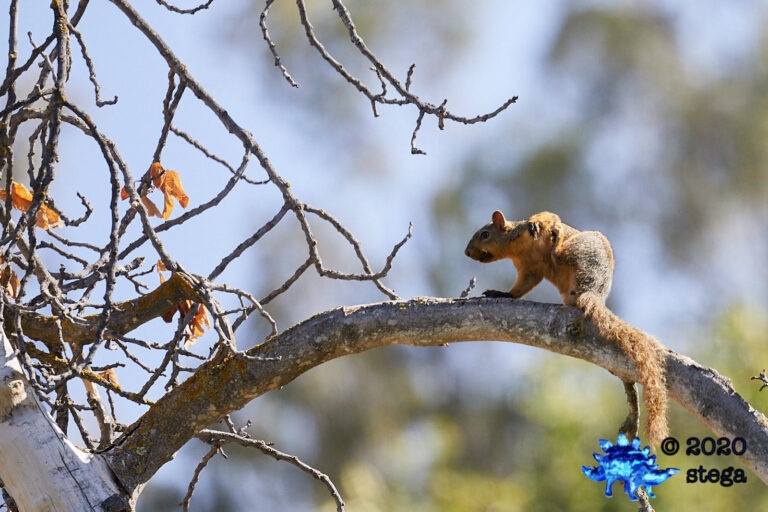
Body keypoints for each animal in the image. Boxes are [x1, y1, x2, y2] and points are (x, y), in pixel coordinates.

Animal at [465, 210, 668, 447]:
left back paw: (557, 242)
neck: (517, 248)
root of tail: (593, 291)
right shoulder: (529, 269)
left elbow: (549, 218)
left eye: (484, 234)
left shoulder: (531, 244)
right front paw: (503, 293)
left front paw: (537, 222)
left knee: (561, 252)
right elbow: (520, 288)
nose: (467, 252)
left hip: (580, 250)